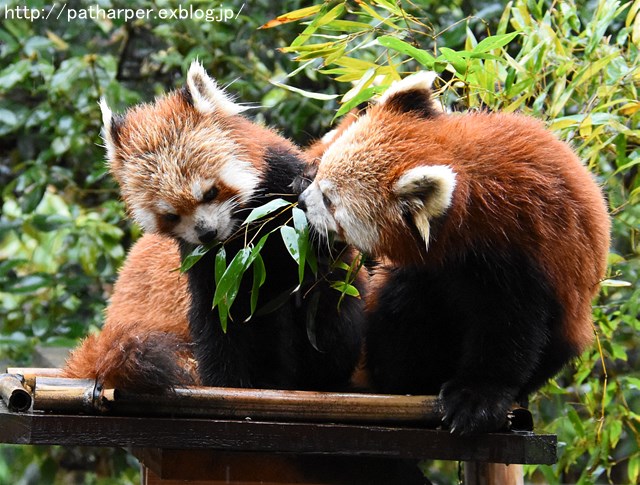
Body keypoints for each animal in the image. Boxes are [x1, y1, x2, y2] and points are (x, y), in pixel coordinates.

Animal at [66, 61, 364, 394]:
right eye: (170, 215)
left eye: (210, 192)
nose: (207, 232)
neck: (247, 237)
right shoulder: (214, 269)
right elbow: (220, 323)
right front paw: (229, 381)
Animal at [298, 71, 612, 432]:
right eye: (321, 171)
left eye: (330, 201)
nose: (303, 202)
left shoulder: (519, 250)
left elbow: (509, 328)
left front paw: (477, 398)